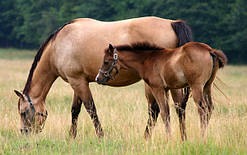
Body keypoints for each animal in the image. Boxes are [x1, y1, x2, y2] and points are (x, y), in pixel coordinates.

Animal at [13, 16, 193, 139]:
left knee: (158, 109)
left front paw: (101, 136)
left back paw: (148, 137)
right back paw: (181, 137)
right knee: (177, 107)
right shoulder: (78, 81)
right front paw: (71, 137)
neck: (58, 46)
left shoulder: (77, 81)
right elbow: (75, 110)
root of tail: (172, 23)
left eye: (23, 113)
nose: (24, 132)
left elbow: (91, 109)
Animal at [95, 41, 227, 139]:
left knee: (202, 109)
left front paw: (169, 139)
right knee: (210, 108)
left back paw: (202, 137)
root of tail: (210, 50)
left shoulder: (157, 88)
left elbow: (164, 113)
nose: (98, 78)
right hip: (207, 86)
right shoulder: (166, 89)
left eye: (106, 61)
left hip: (196, 87)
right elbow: (167, 112)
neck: (147, 59)